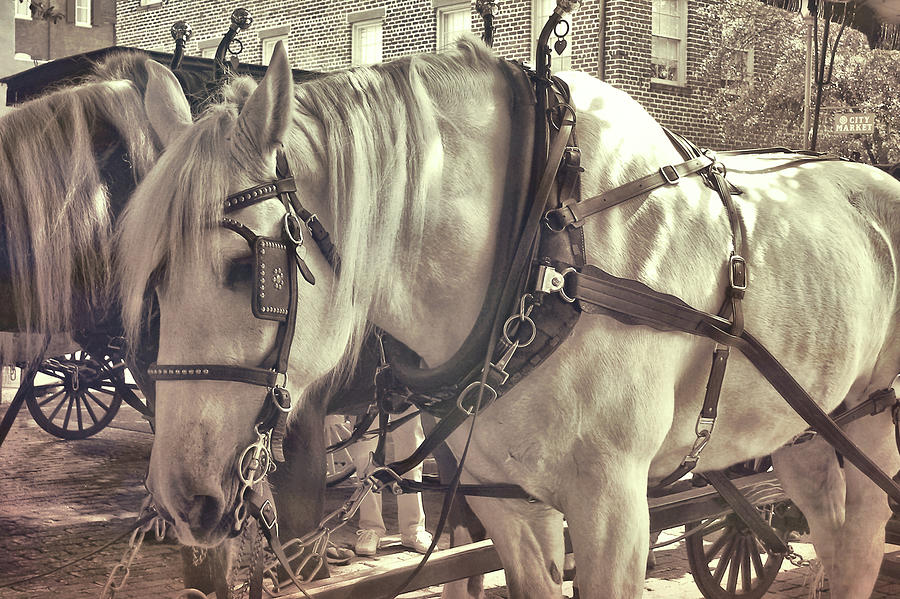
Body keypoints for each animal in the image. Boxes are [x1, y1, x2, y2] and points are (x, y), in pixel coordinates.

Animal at [119, 39, 900, 596]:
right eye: (153, 277)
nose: (180, 499)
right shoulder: (510, 503)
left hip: (871, 419)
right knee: (833, 531)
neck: (545, 247)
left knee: (863, 536)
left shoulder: (614, 507)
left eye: (246, 268)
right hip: (800, 427)